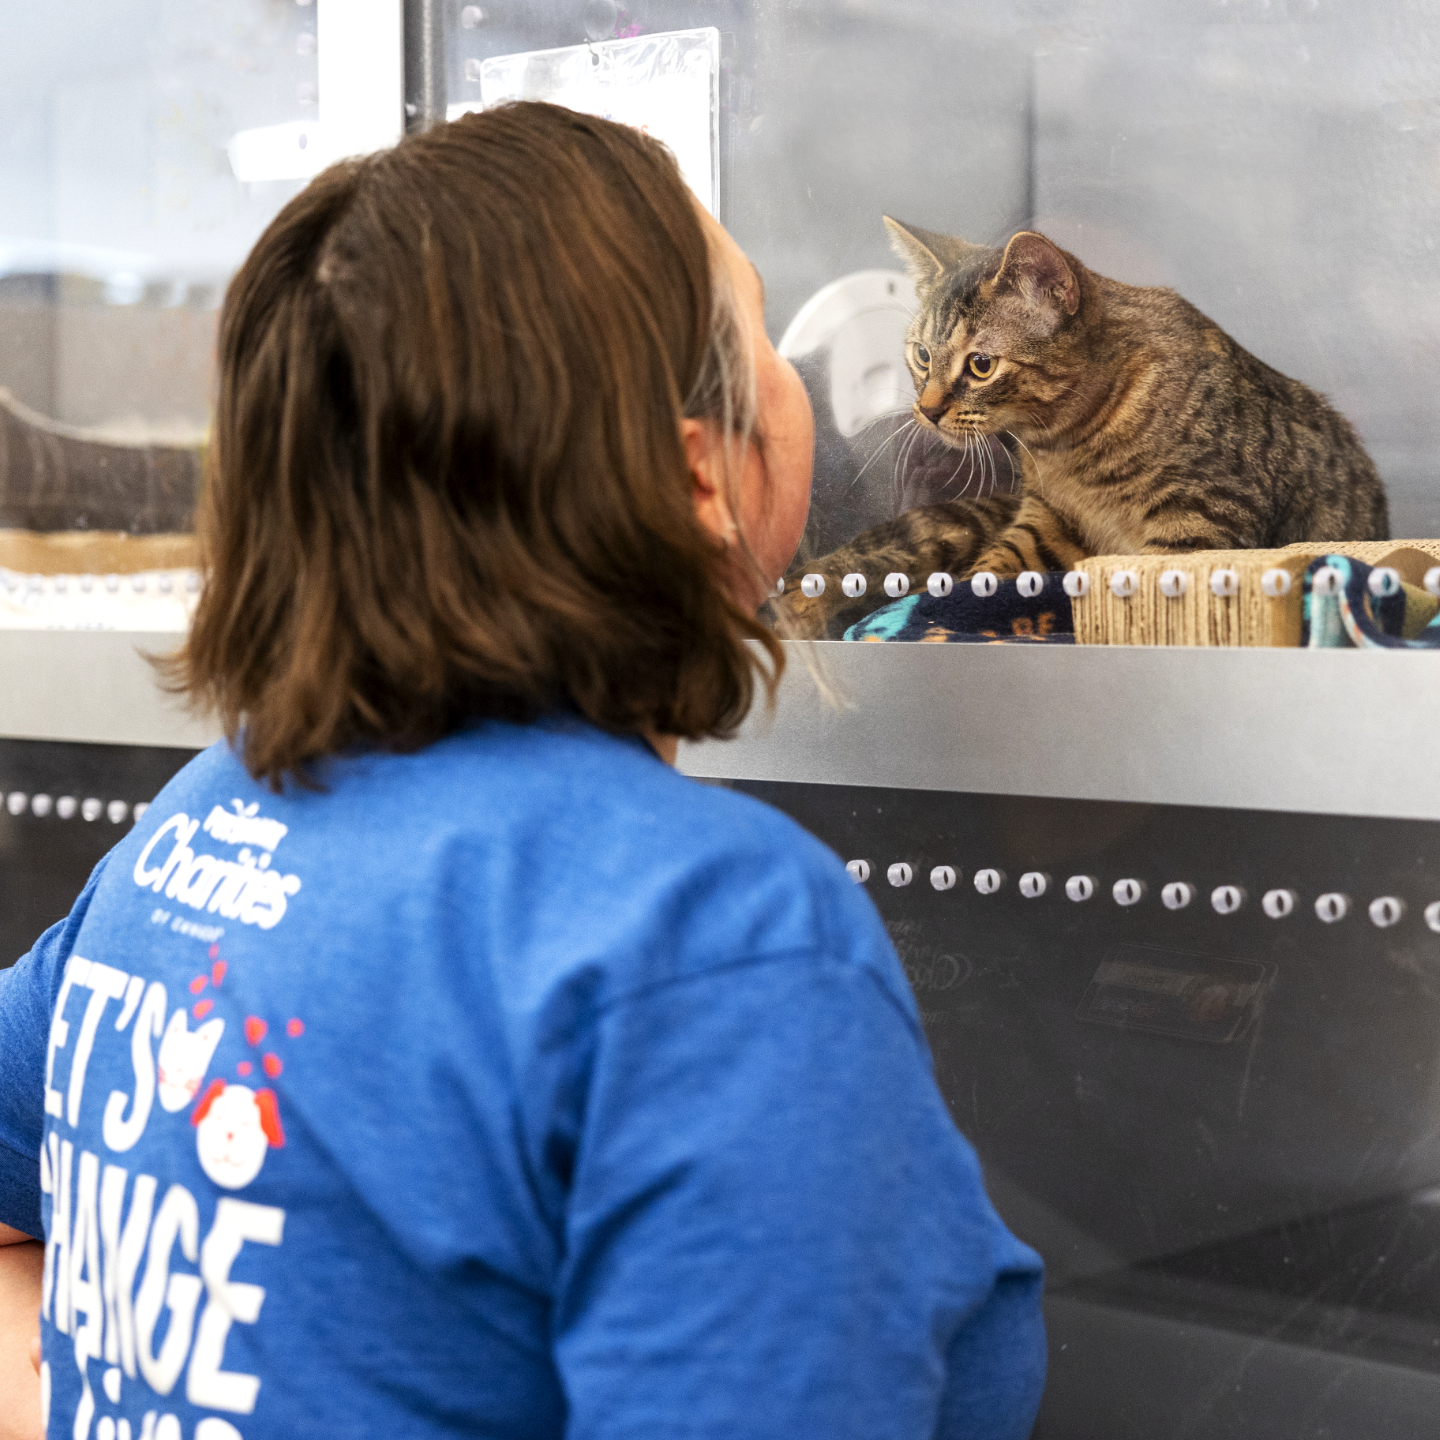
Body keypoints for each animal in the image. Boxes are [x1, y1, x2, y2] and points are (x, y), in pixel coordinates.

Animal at [771, 217, 1388, 636]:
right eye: (922, 355)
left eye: (981, 364)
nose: (927, 408)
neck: (1066, 446)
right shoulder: (1045, 522)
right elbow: (988, 571)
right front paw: (948, 605)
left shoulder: (1200, 522)